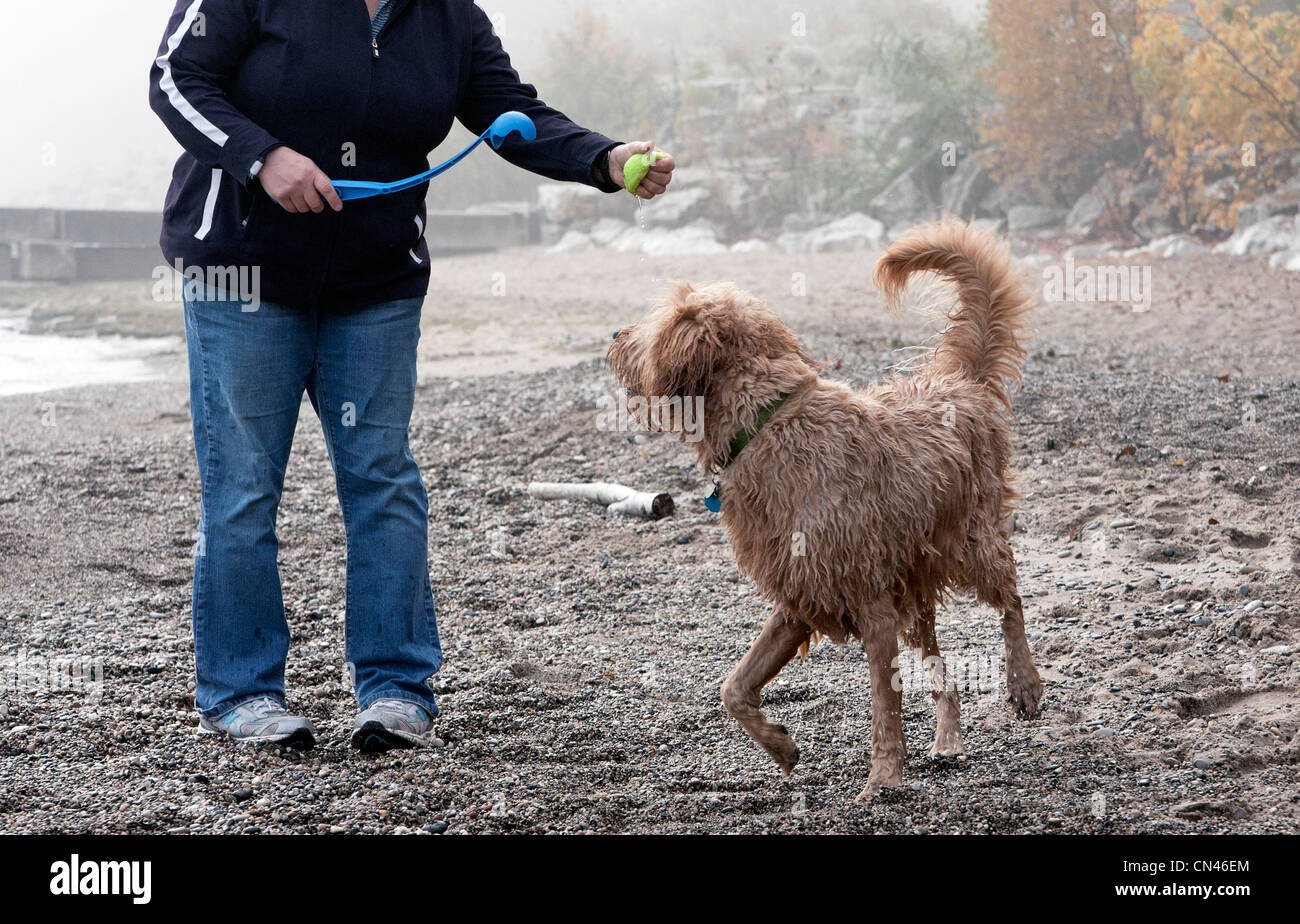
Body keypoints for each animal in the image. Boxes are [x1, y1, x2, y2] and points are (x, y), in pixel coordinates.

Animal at [608, 220, 1045, 800]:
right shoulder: (799, 592)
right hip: (914, 573)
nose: (614, 335)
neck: (765, 425)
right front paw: (781, 747)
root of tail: (957, 380)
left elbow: (884, 708)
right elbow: (734, 687)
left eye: (654, 325)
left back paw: (1024, 683)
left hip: (967, 540)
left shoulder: (872, 604)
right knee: (938, 662)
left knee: (1011, 593)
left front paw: (882, 779)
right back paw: (949, 737)